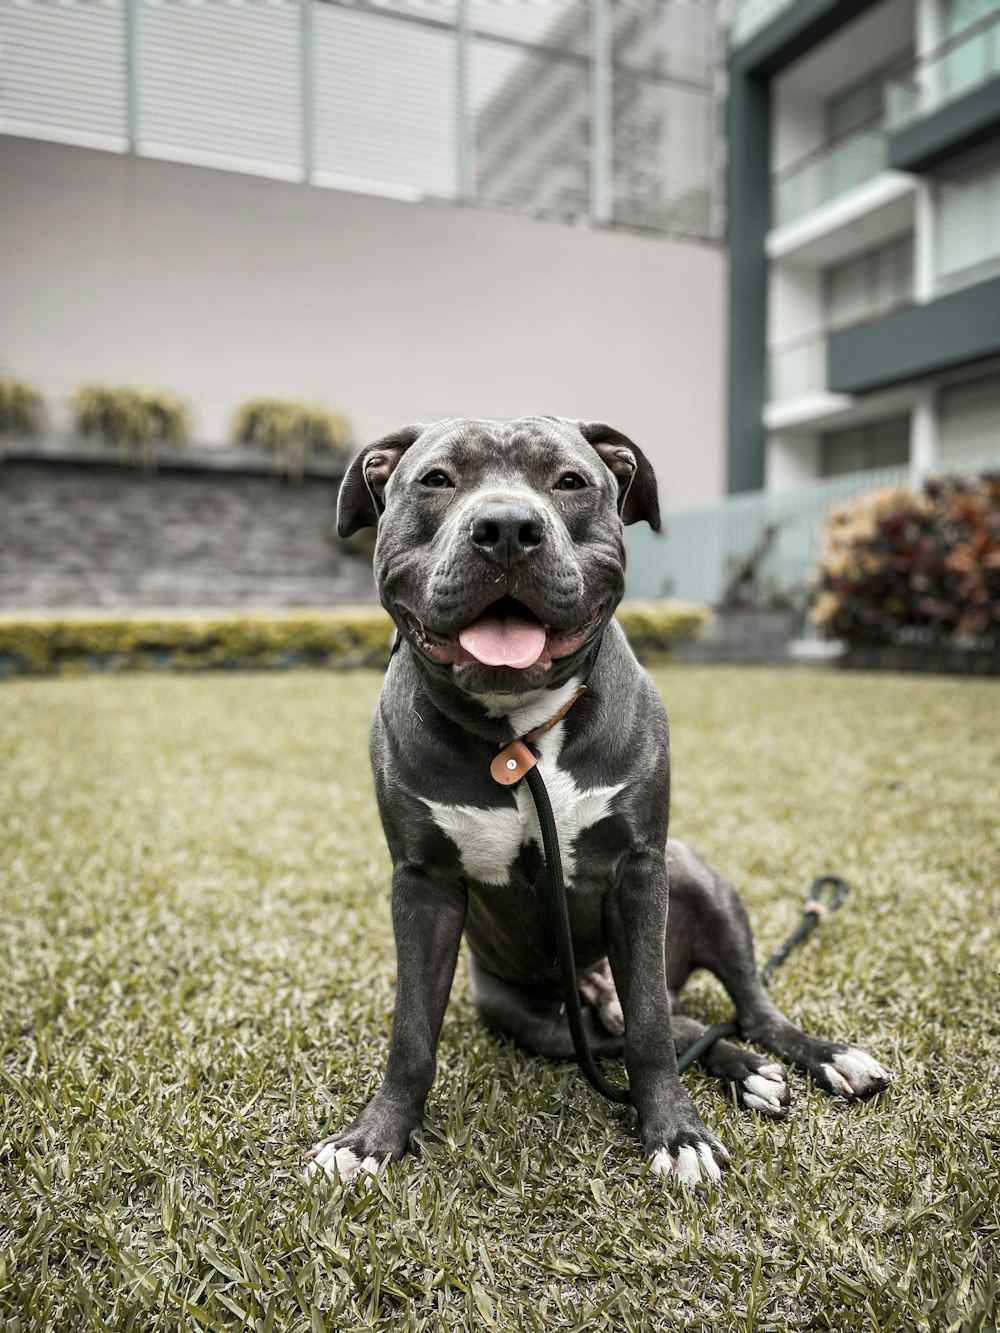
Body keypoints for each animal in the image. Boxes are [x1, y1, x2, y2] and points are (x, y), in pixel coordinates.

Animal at [308, 415, 890, 1189]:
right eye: (436, 479)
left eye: (570, 481)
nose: (506, 526)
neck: (519, 734)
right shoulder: (422, 884)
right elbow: (411, 1031)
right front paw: (374, 1137)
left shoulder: (639, 872)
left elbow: (649, 1028)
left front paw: (675, 1132)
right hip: (542, 1023)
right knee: (679, 1029)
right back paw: (749, 1071)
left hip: (699, 880)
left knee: (738, 1009)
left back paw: (821, 1057)